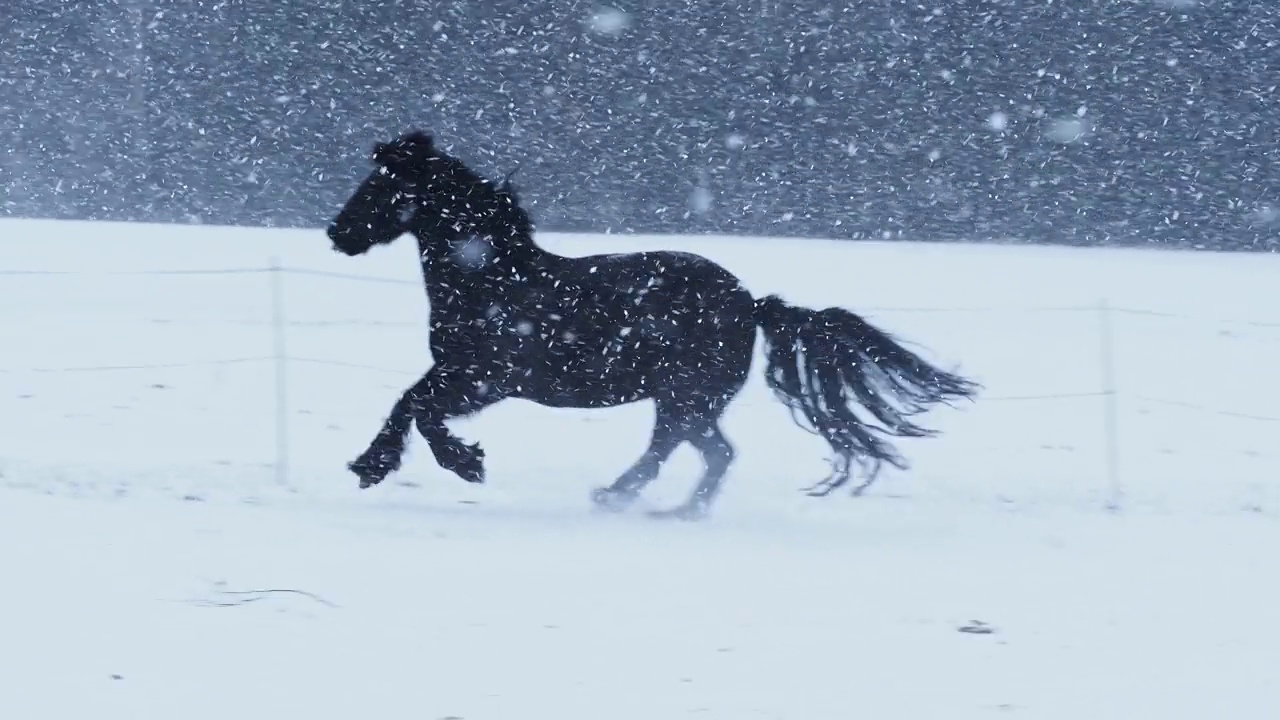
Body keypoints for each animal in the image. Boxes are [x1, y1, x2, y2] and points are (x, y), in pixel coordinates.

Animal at [325, 131, 972, 517]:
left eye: (383, 185)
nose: (337, 233)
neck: (492, 281)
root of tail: (751, 304)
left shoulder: (486, 378)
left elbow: (418, 407)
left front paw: (451, 464)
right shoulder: (461, 373)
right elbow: (410, 402)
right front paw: (378, 465)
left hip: (684, 398)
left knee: (683, 451)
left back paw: (622, 499)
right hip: (688, 402)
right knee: (712, 454)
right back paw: (669, 509)